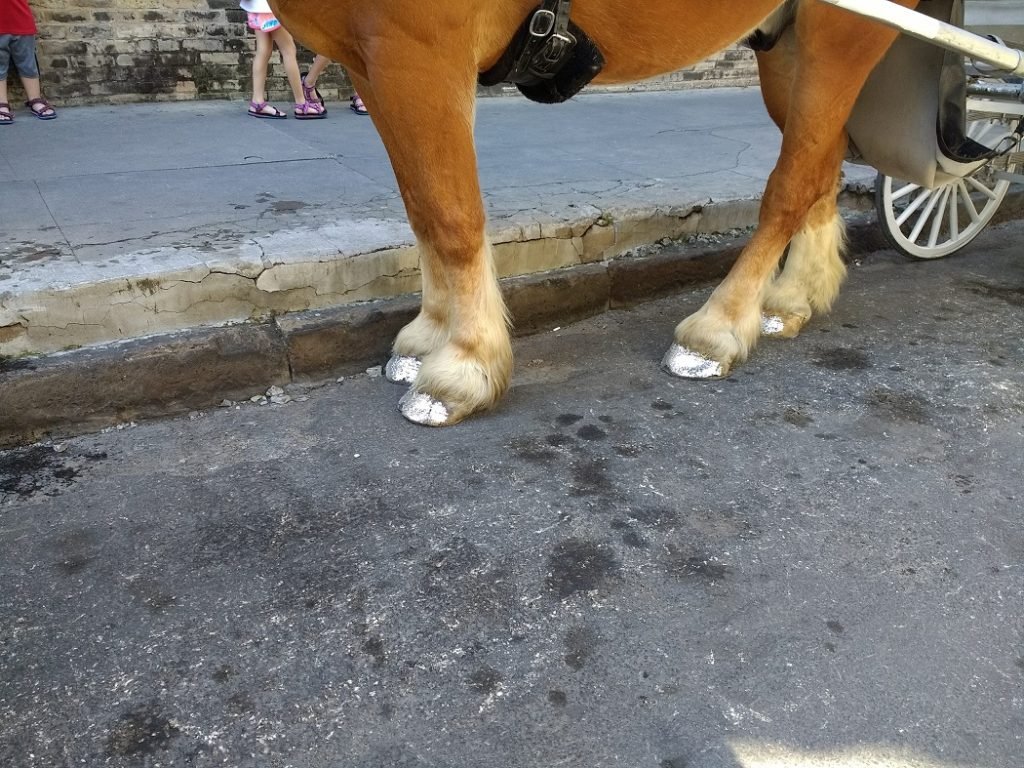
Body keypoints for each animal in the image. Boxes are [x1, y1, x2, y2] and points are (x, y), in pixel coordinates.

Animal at [272, 0, 919, 425]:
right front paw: (429, 333)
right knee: (819, 167)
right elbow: (421, 209)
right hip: (787, 44)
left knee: (793, 182)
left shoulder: (417, 46)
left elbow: (450, 215)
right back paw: (789, 300)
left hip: (843, 31)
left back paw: (718, 328)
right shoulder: (372, 61)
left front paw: (464, 364)